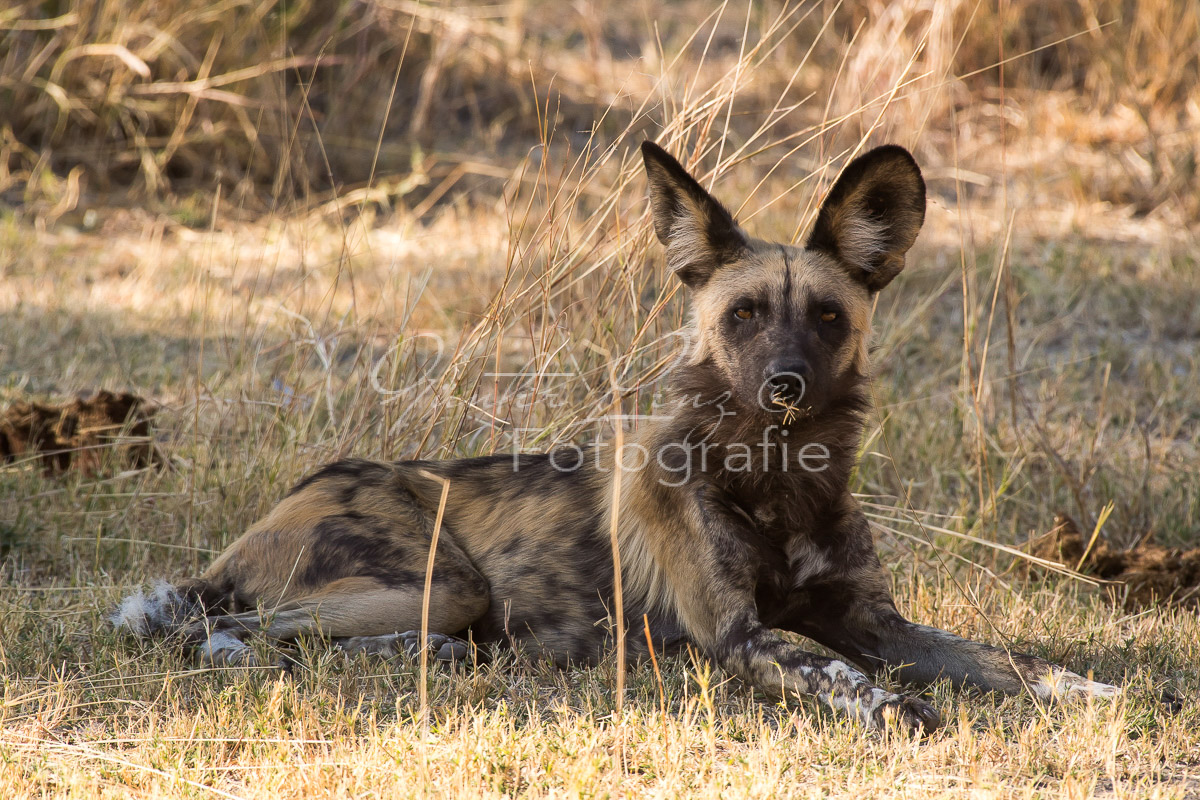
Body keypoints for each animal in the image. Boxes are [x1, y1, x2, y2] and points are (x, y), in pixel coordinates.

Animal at [112, 142, 1113, 734]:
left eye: (827, 316)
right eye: (744, 315)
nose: (785, 383)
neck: (781, 479)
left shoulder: (880, 622)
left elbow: (1013, 662)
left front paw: (1090, 691)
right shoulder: (742, 637)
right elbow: (842, 676)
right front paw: (900, 710)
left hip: (435, 601)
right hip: (439, 583)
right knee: (224, 631)